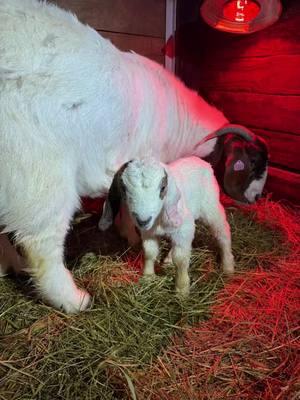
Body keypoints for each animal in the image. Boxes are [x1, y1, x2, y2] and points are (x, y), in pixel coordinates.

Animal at [0, 0, 266, 312]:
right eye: (254, 163)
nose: (257, 198)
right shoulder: (140, 160)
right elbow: (130, 202)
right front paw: (134, 235)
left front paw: (129, 234)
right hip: (39, 171)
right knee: (41, 243)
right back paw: (73, 299)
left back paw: (10, 265)